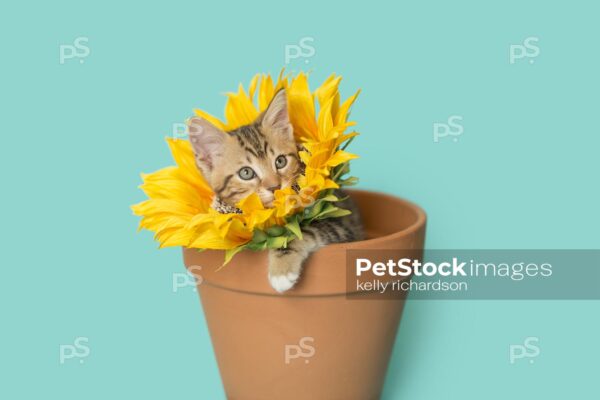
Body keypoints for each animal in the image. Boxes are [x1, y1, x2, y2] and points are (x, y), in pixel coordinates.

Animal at [189, 89, 366, 292]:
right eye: (246, 173)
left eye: (280, 161)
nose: (274, 187)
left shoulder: (345, 228)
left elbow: (302, 231)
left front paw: (281, 271)